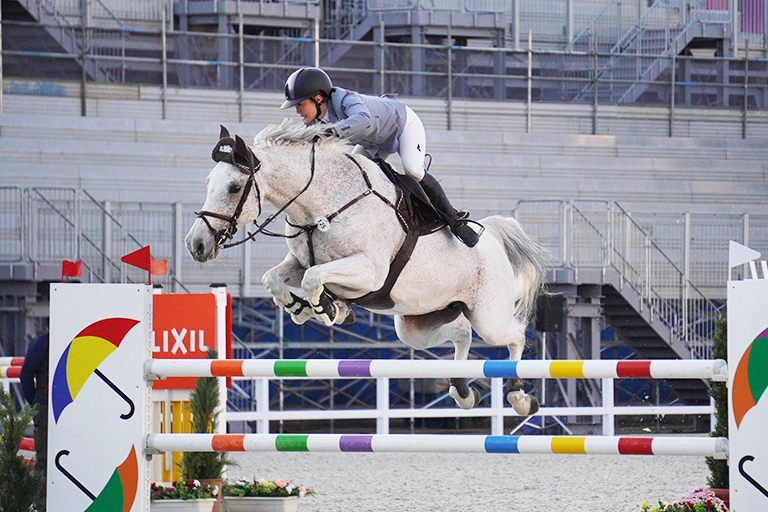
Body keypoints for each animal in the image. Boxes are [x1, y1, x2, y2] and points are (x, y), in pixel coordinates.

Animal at [185, 121, 544, 416]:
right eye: (207, 182)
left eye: (234, 188)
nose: (196, 244)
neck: (320, 204)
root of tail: (492, 239)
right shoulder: (300, 264)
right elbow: (273, 278)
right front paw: (302, 308)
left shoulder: (369, 272)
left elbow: (315, 280)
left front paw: (329, 309)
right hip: (416, 325)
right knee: (462, 334)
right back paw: (462, 391)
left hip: (488, 316)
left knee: (515, 335)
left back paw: (518, 397)